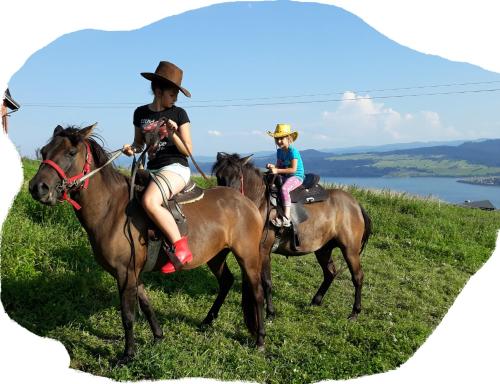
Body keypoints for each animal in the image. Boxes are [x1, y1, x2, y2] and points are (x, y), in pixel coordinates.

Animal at [28, 124, 266, 362]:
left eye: (71, 152)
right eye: (44, 152)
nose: (37, 187)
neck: (111, 210)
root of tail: (246, 202)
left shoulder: (125, 272)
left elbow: (127, 315)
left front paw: (128, 354)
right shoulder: (133, 272)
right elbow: (145, 303)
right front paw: (158, 336)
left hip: (248, 257)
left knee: (257, 293)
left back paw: (260, 340)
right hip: (216, 256)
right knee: (226, 281)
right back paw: (207, 321)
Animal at [211, 153, 372, 320]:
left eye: (238, 176)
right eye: (219, 176)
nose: (226, 200)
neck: (260, 204)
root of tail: (355, 204)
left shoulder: (263, 251)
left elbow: (266, 282)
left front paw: (270, 313)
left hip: (350, 250)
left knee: (358, 276)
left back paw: (355, 312)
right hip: (323, 249)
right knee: (330, 273)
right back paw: (316, 301)